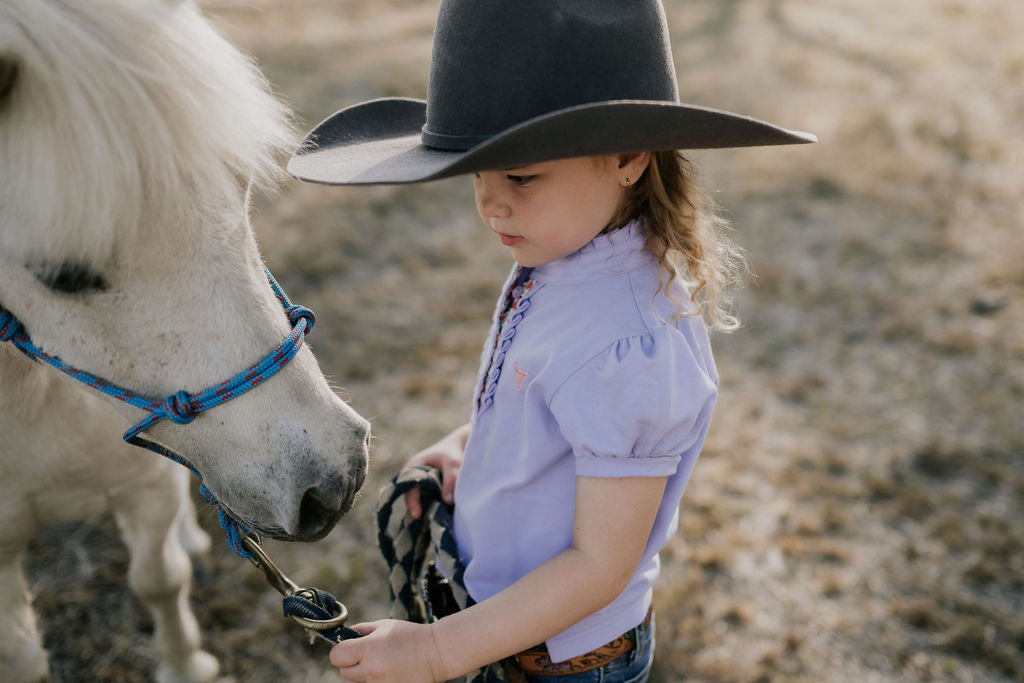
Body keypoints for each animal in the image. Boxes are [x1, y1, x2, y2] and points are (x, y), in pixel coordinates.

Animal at [0, 2, 370, 679]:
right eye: (63, 275)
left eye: (240, 182)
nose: (334, 481)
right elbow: (20, 656)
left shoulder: (147, 485)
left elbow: (160, 580)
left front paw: (184, 664)